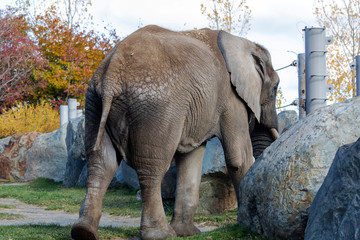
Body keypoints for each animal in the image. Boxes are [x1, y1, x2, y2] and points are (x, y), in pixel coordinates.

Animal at [70, 24, 278, 240]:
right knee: (152, 166)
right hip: (157, 107)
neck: (242, 42)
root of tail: (112, 71)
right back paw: (161, 234)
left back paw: (84, 231)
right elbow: (238, 158)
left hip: (93, 103)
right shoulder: (231, 98)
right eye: (275, 88)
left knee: (102, 163)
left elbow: (190, 158)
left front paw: (188, 233)